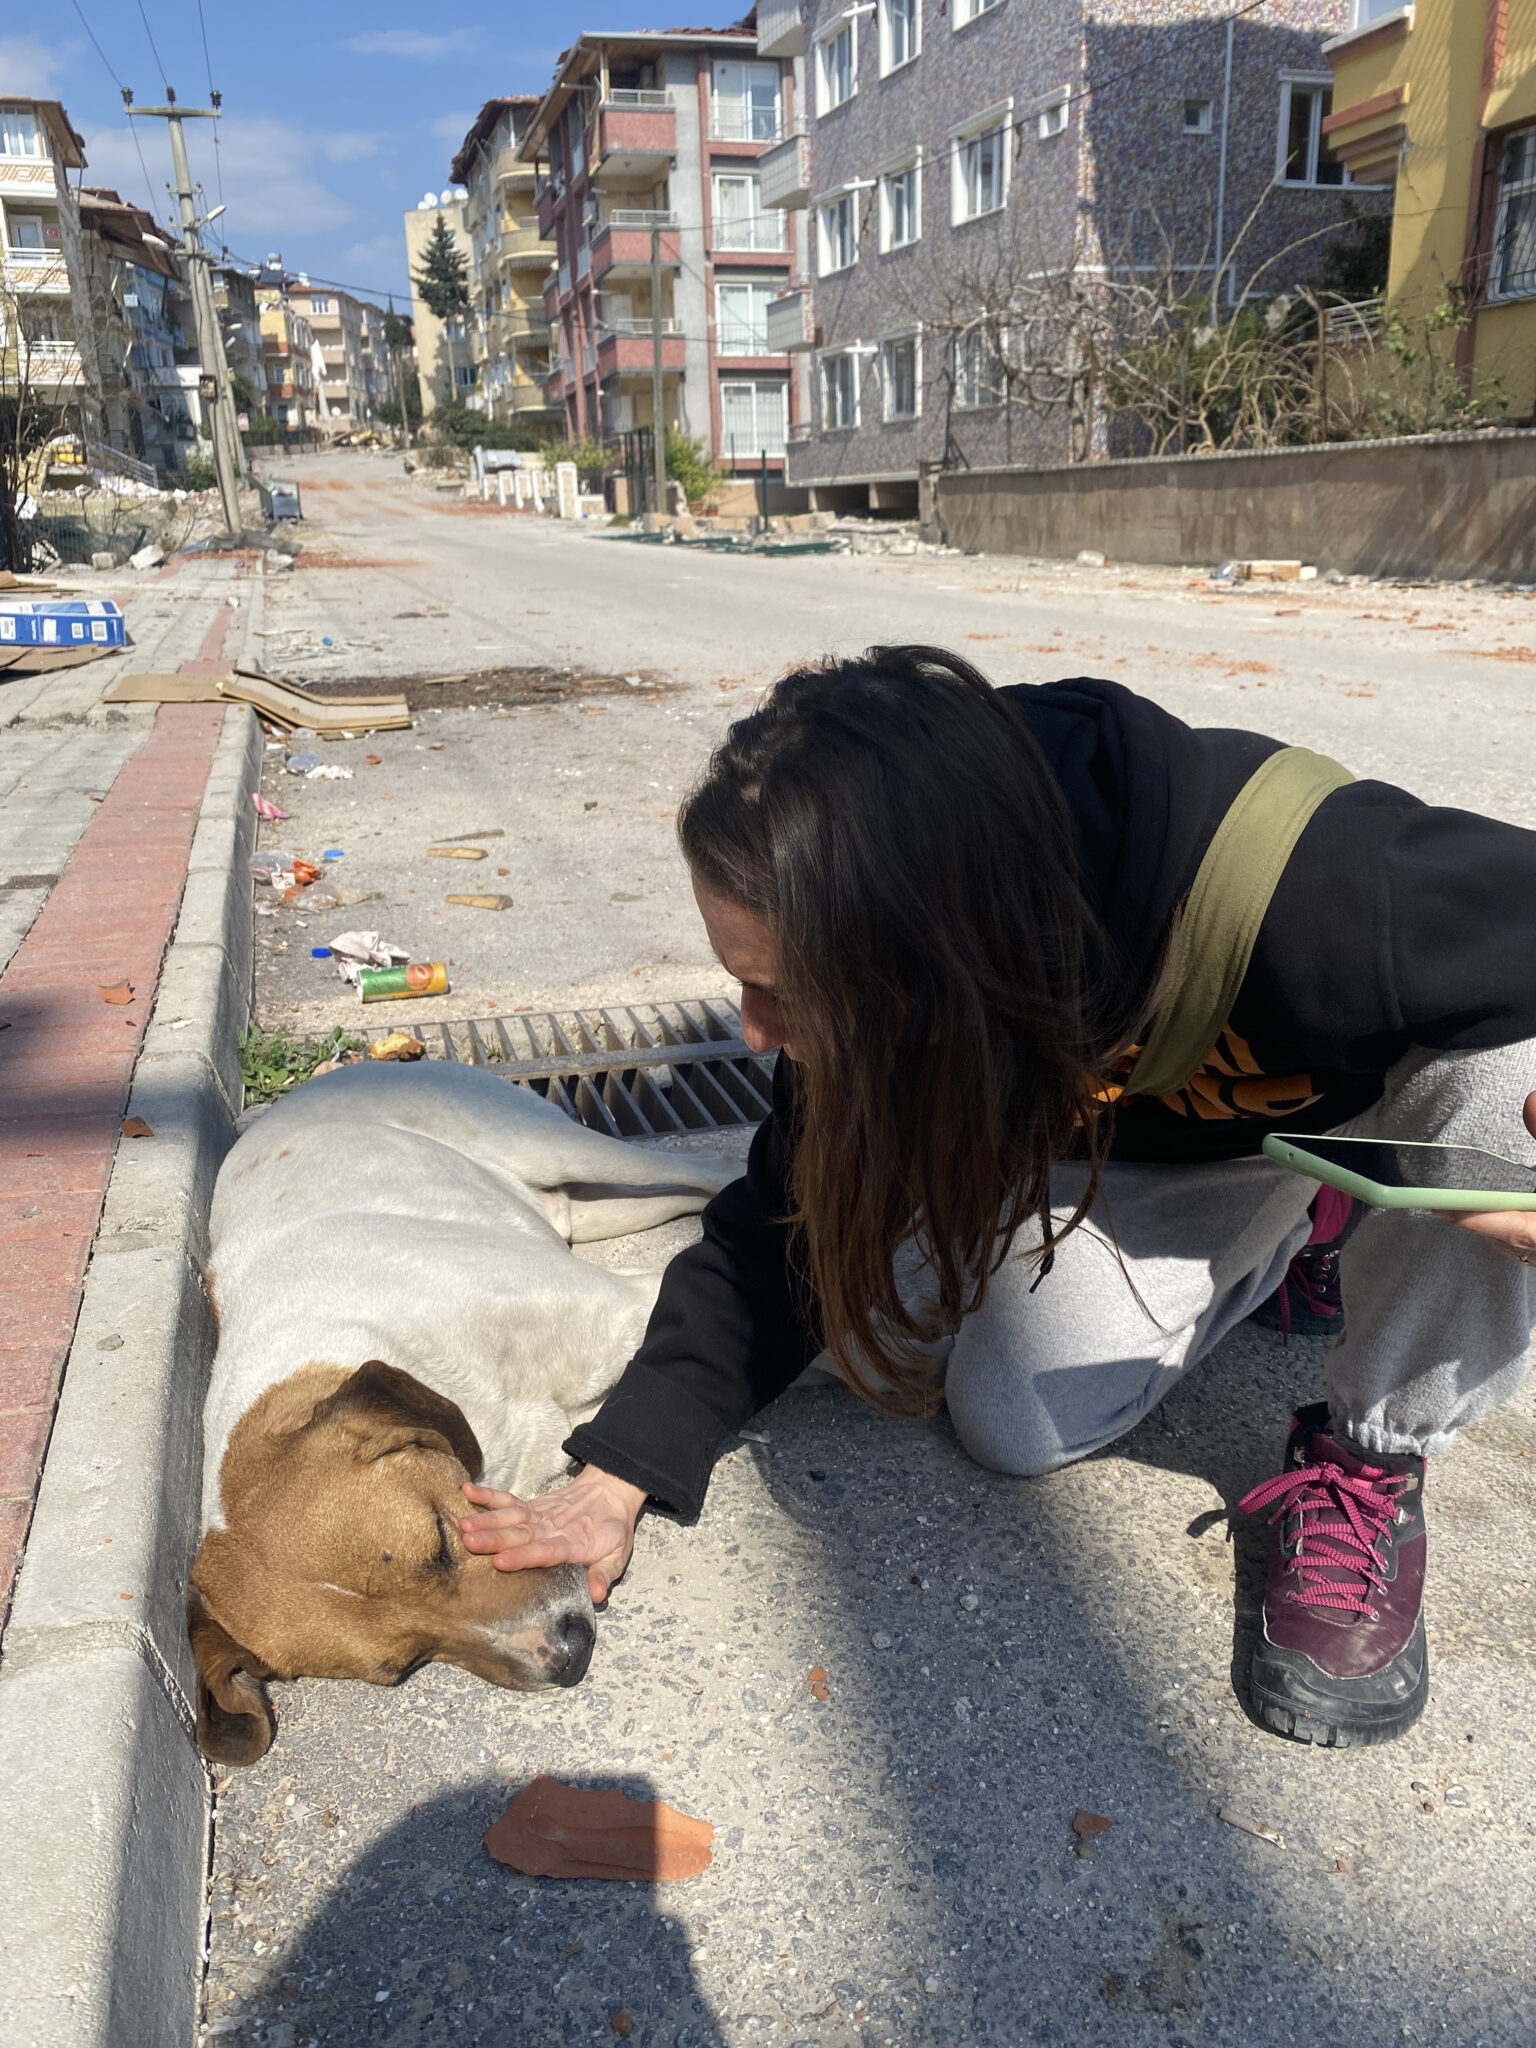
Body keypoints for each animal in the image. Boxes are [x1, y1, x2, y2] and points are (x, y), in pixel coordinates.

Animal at [189, 1056, 737, 1761]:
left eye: (441, 1543)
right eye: (408, 1663)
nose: (570, 1658)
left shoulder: (631, 1304)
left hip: (557, 1146)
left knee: (713, 1168)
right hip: (597, 1207)